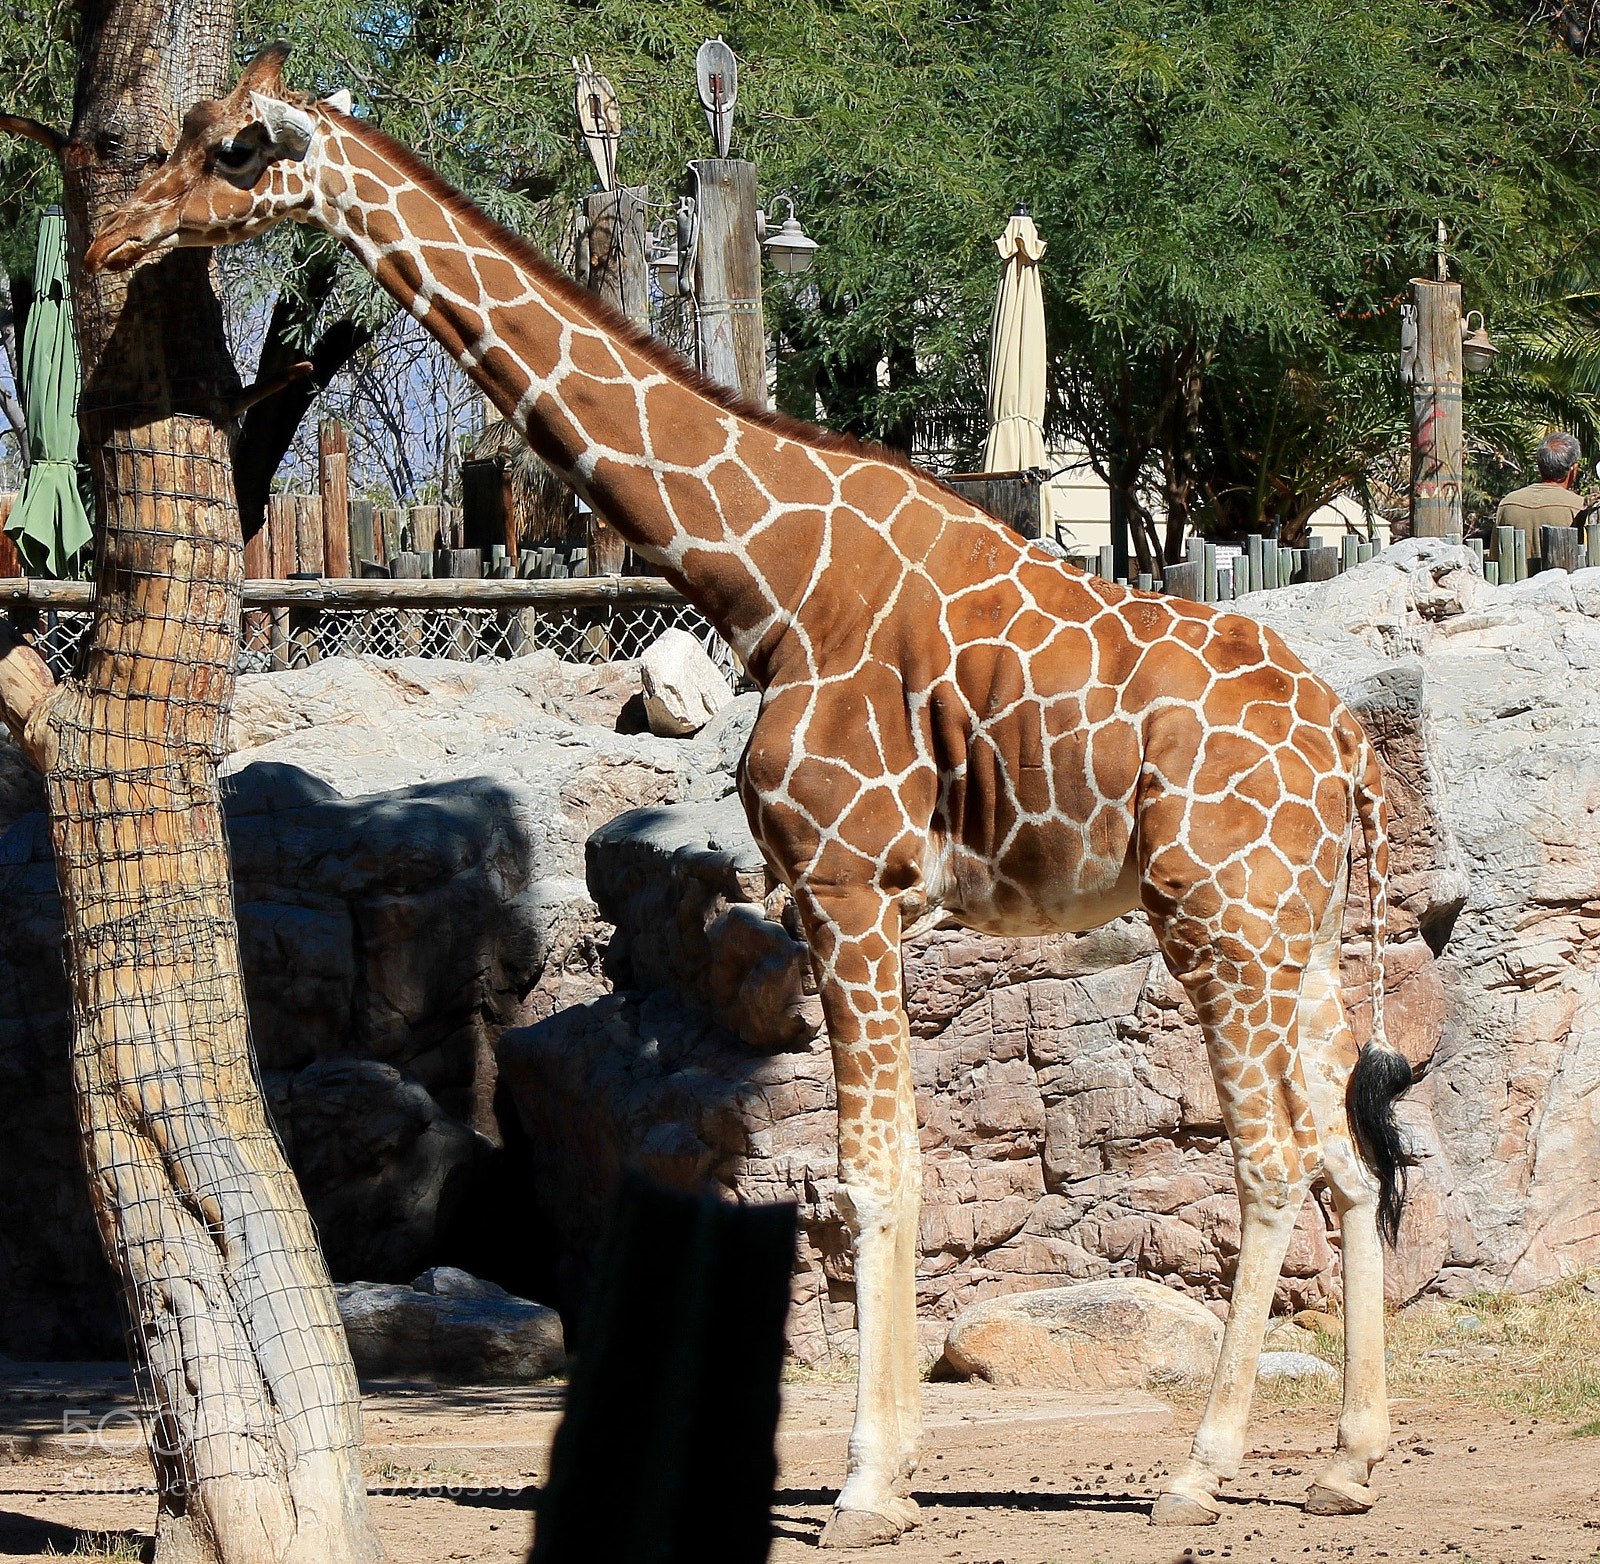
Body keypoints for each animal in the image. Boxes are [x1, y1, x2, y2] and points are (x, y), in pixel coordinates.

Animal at [87, 45, 1416, 1545]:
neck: (766, 579)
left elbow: (870, 1173)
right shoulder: (868, 898)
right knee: (1348, 1159)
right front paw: (893, 1470)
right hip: (1302, 935)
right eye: (189, 132)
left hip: (1217, 920)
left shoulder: (844, 880)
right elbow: (892, 1167)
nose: (115, 238)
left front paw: (865, 1486)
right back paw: (1352, 1458)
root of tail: (1348, 746)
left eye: (237, 150)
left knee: (1271, 1159)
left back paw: (1199, 1468)